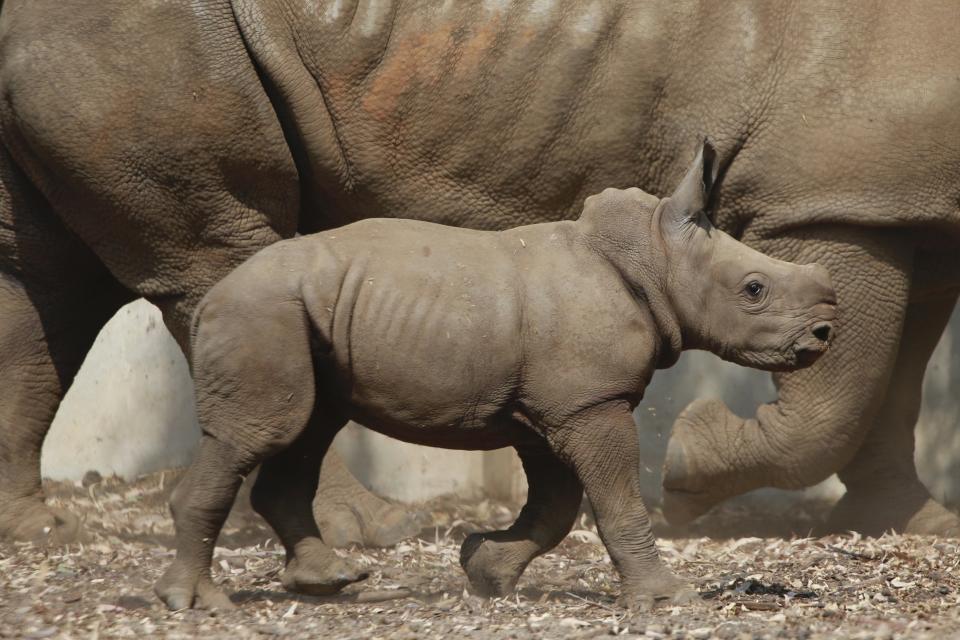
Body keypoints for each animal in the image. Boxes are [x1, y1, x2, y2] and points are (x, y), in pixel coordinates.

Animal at [0, 0, 956, 544]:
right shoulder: (833, 190)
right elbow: (841, 388)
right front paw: (685, 476)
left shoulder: (909, 204)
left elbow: (895, 377)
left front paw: (910, 522)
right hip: (146, 41)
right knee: (218, 262)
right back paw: (370, 531)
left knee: (41, 284)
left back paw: (38, 536)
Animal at [156, 140, 832, 608]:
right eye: (754, 290)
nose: (826, 332)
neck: (655, 256)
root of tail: (212, 295)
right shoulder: (591, 403)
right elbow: (615, 501)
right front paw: (668, 598)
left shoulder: (553, 409)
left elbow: (557, 507)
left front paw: (485, 570)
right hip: (260, 311)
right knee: (265, 431)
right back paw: (198, 604)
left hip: (302, 311)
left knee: (310, 428)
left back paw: (329, 581)